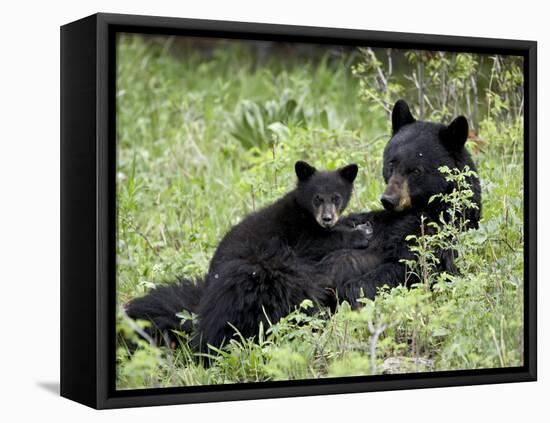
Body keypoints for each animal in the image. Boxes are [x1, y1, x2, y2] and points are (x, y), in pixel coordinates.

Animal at [127, 161, 374, 350]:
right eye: (317, 198)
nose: (327, 218)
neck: (305, 214)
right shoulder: (297, 232)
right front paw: (361, 233)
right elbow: (319, 242)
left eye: (336, 197)